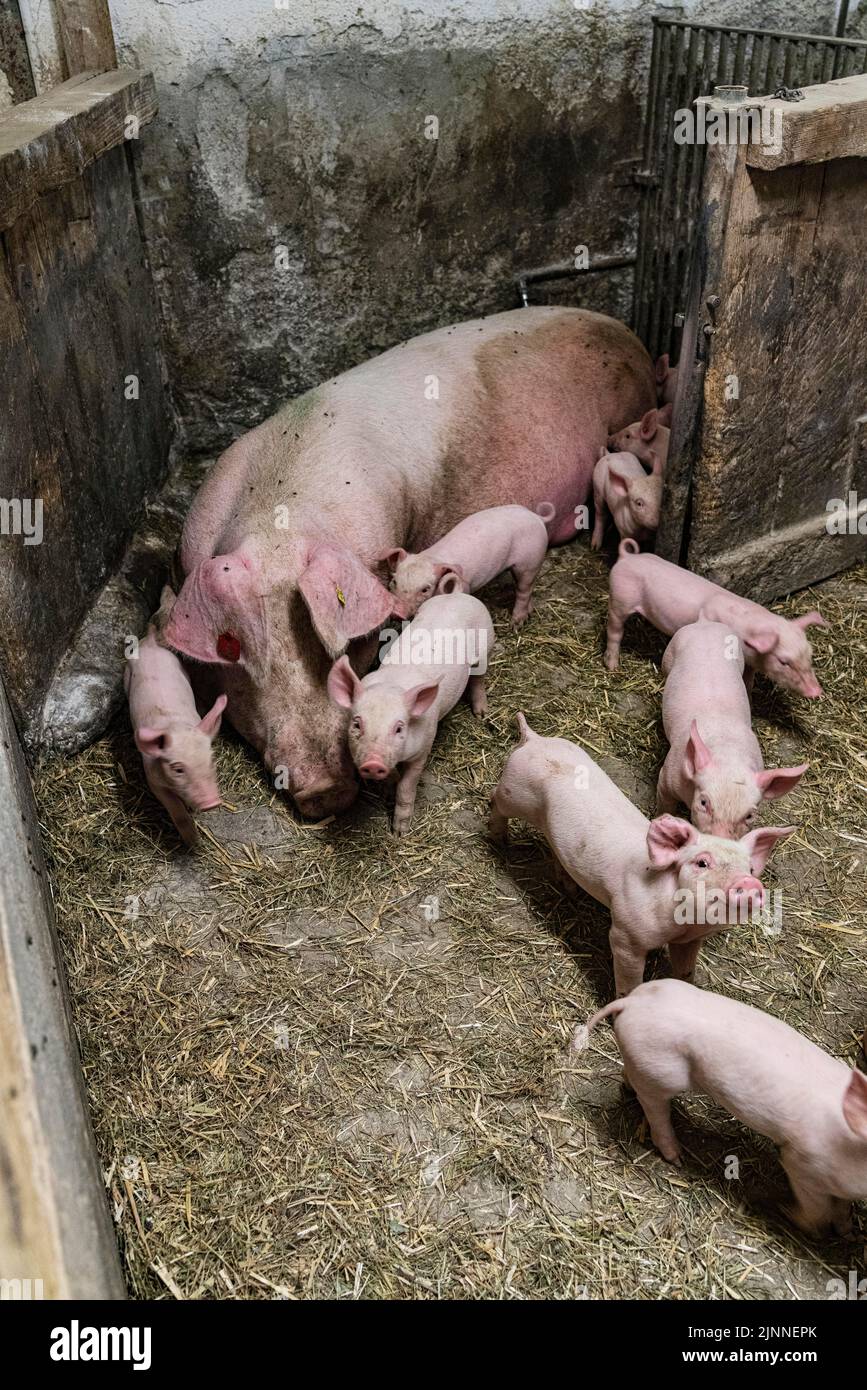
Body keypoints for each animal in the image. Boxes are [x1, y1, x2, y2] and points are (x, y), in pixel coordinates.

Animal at [489, 711, 794, 995]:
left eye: (750, 869)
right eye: (702, 862)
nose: (749, 883)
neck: (684, 923)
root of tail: (533, 739)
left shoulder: (689, 940)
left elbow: (685, 970)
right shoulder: (626, 934)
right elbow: (628, 977)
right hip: (513, 793)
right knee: (494, 802)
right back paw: (499, 841)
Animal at [578, 978, 867, 1239]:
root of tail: (632, 1002)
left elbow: (840, 1208)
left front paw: (847, 1232)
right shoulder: (802, 1163)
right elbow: (817, 1211)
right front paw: (788, 1214)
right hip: (660, 1074)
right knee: (655, 1109)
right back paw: (677, 1158)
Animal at [603, 539, 828, 700]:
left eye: (810, 655)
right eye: (783, 661)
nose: (816, 691)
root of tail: (626, 557)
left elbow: (749, 677)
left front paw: (749, 692)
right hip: (620, 599)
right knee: (614, 630)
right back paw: (613, 667)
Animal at [661, 625, 811, 839]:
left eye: (749, 815)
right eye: (704, 802)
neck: (729, 755)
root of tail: (705, 623)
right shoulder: (667, 777)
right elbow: (664, 805)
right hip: (670, 652)